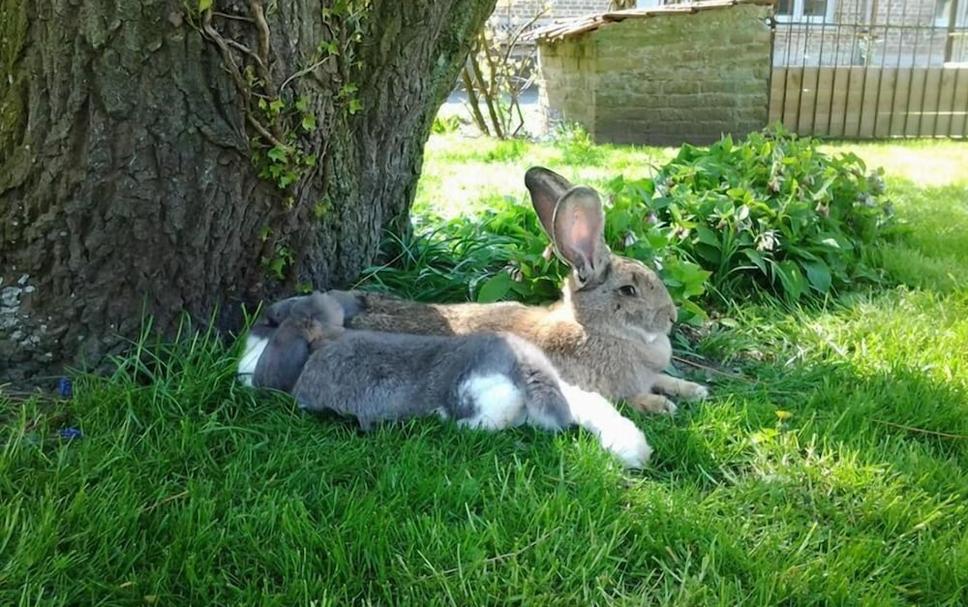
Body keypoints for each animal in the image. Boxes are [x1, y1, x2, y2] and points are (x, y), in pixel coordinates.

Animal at [328, 166, 708, 416]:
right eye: (628, 291)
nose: (671, 317)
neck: (592, 327)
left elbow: (664, 378)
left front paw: (695, 390)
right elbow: (627, 399)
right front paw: (661, 405)